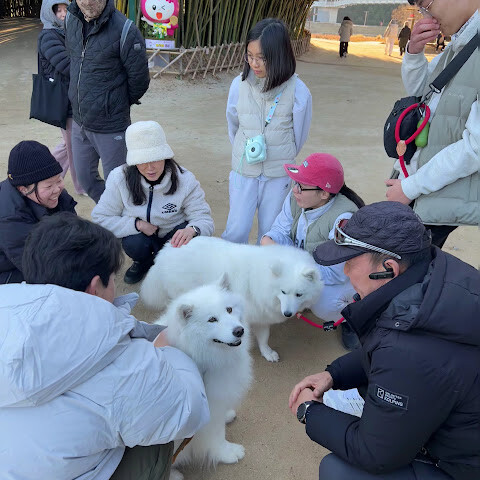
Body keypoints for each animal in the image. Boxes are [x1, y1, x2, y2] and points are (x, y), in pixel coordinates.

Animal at [142, 236, 323, 362]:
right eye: (283, 292)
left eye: (299, 294)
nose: (288, 313)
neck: (259, 280)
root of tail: (166, 249)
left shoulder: (261, 317)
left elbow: (264, 338)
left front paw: (267, 353)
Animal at [154, 275, 252, 480]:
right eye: (212, 320)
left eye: (229, 309)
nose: (239, 331)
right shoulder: (208, 414)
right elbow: (217, 437)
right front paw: (228, 453)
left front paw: (228, 415)